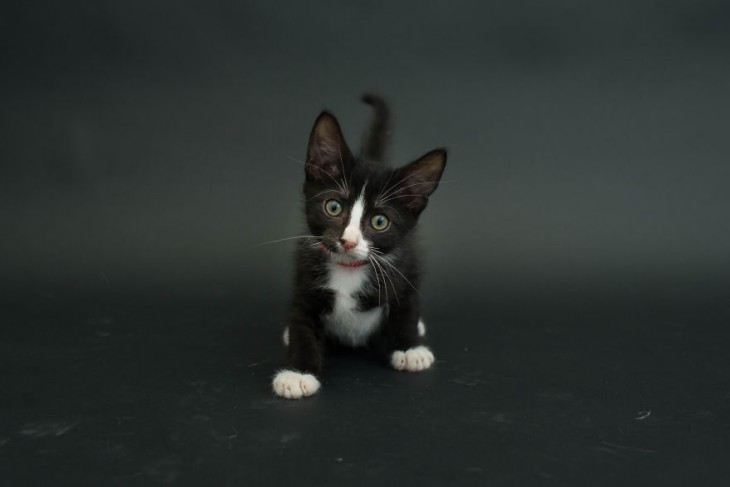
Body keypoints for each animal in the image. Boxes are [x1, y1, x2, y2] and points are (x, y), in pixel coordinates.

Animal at [272, 94, 444, 400]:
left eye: (379, 221)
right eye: (333, 207)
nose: (348, 241)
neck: (348, 269)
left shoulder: (405, 269)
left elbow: (406, 307)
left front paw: (410, 348)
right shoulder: (304, 281)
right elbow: (302, 324)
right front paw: (298, 374)